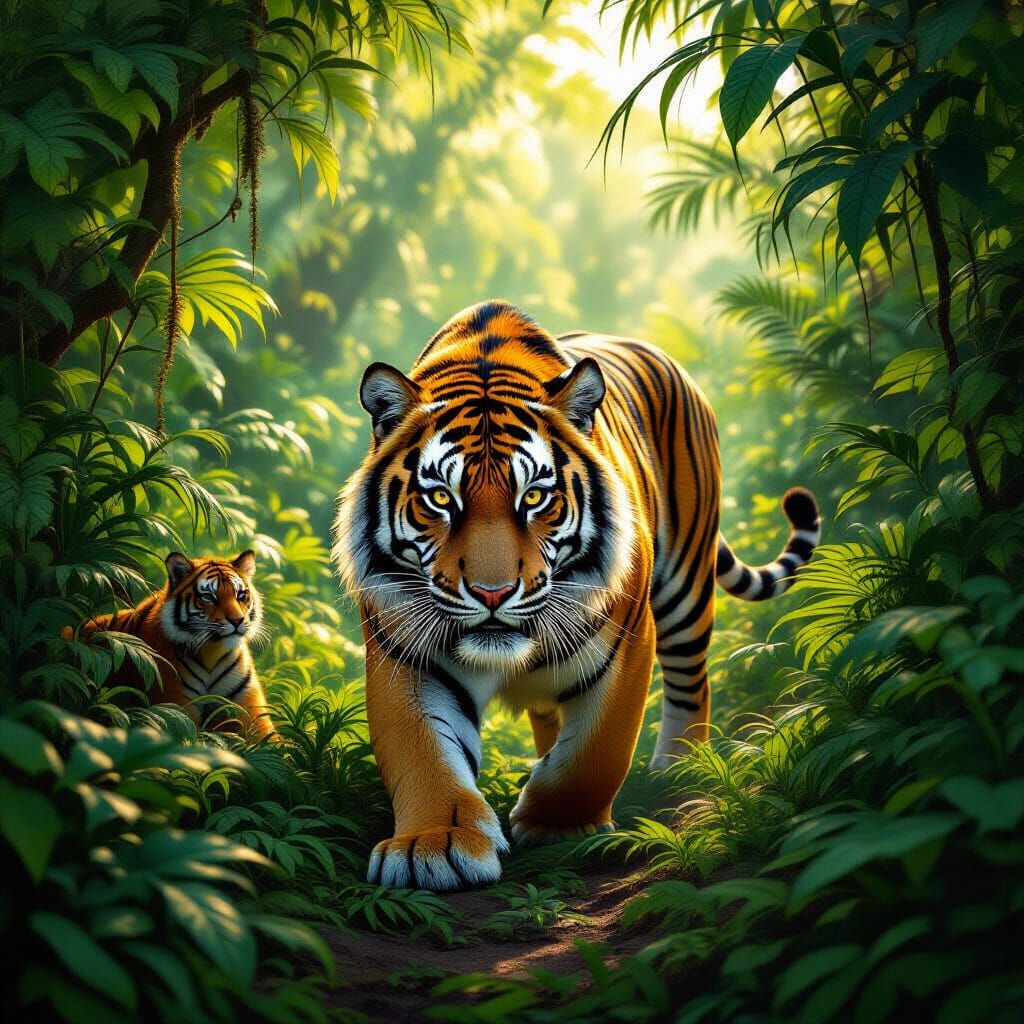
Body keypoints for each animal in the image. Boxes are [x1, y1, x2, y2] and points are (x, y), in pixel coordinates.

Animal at [67, 551, 274, 738]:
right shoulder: (176, 703)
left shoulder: (248, 704)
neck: (213, 651)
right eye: (208, 597)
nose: (237, 621)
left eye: (241, 595)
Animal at [333, 300, 820, 891]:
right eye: (442, 499)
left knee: (691, 685)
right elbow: (422, 750)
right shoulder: (404, 651)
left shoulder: (627, 640)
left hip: (685, 587)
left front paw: (558, 825)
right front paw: (434, 844)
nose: (493, 593)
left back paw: (678, 771)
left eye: (535, 497)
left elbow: (595, 752)